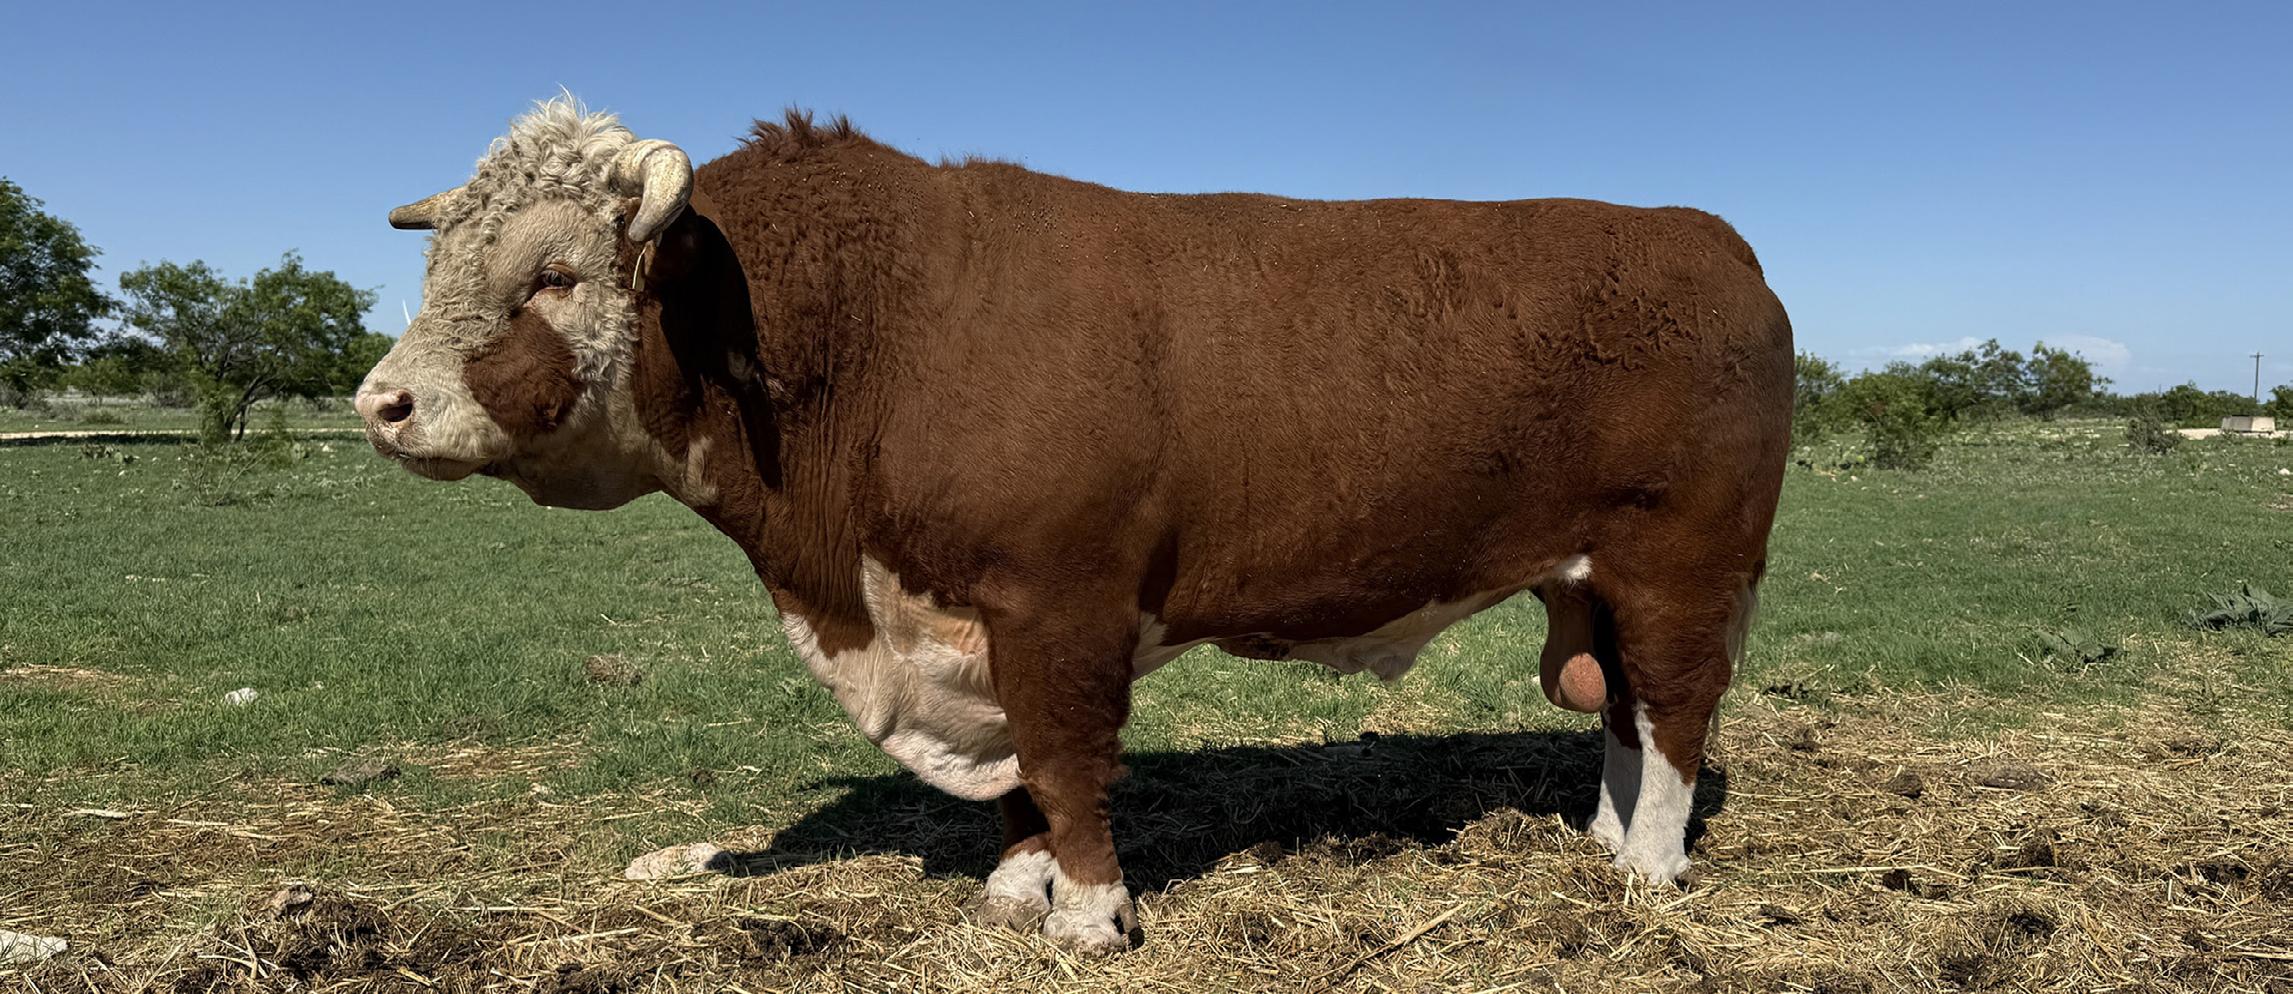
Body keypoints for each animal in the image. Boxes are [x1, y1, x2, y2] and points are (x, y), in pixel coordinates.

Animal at [356, 96, 1792, 954]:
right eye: (436, 265)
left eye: (553, 273)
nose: (382, 401)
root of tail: (1711, 245)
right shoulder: (968, 618)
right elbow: (1016, 778)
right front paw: (1015, 885)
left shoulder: (1058, 603)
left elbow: (1060, 756)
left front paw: (1090, 913)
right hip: (1591, 574)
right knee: (1620, 706)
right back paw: (1604, 837)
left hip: (1679, 558)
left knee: (1674, 704)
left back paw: (1647, 868)